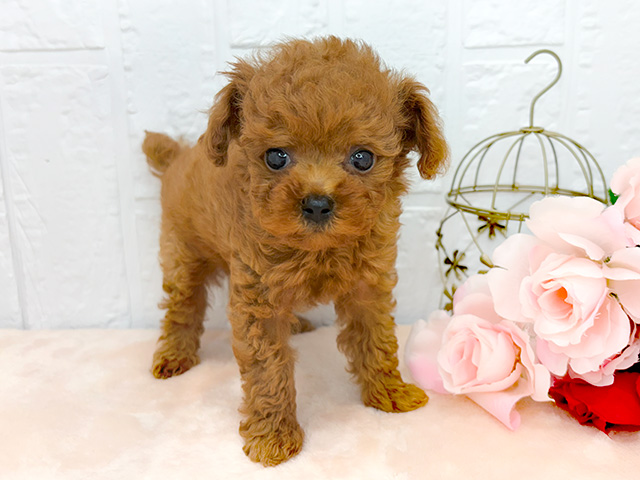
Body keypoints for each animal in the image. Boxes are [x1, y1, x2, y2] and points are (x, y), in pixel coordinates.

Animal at [142, 36, 448, 464]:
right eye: (276, 157)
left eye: (363, 158)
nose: (317, 203)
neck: (316, 249)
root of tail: (178, 158)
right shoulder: (259, 302)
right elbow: (268, 369)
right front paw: (273, 436)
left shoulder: (368, 288)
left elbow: (376, 340)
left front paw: (389, 392)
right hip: (182, 251)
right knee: (182, 307)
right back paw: (174, 355)